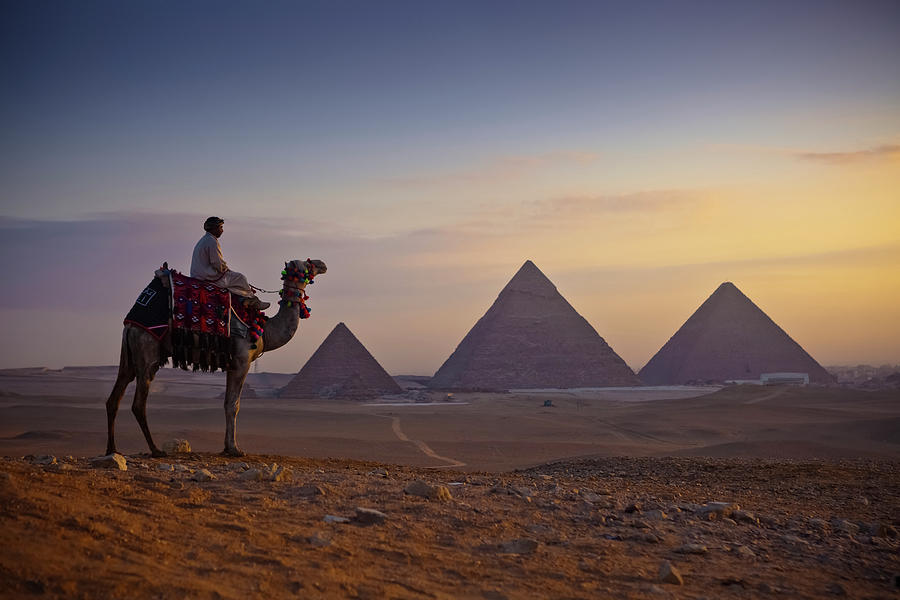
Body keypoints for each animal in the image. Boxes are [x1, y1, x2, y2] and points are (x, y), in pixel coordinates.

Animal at [106, 255, 326, 458]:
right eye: (306, 264)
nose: (322, 263)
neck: (264, 329)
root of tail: (131, 322)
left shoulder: (232, 364)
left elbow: (227, 402)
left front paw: (227, 447)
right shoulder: (242, 361)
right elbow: (233, 405)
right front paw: (235, 449)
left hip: (130, 354)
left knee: (114, 398)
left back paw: (112, 449)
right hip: (147, 350)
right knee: (138, 404)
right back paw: (155, 450)